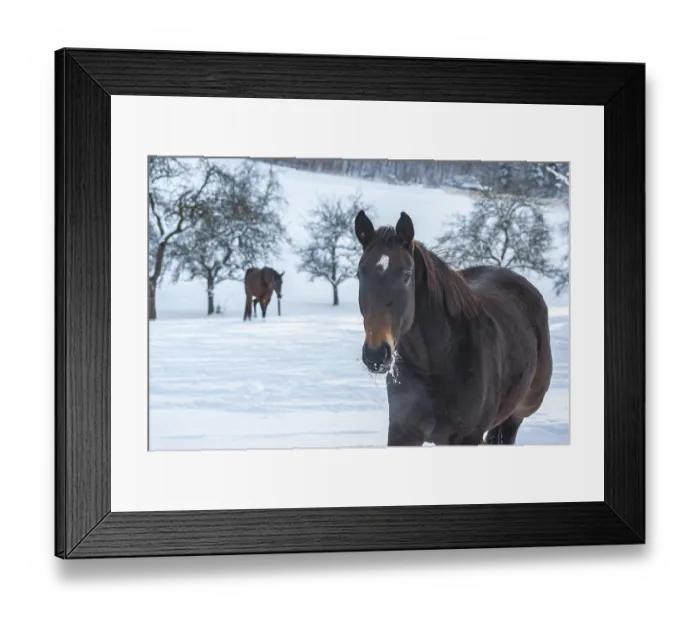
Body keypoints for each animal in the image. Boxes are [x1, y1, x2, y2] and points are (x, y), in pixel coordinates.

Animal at [353, 209, 553, 446]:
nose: (376, 354)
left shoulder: (467, 437)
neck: (441, 362)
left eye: (406, 275)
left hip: (516, 414)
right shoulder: (402, 433)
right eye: (359, 274)